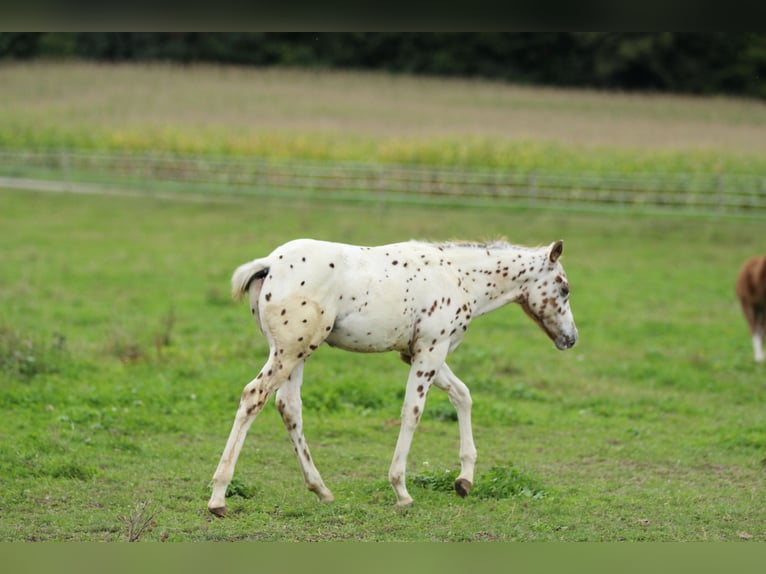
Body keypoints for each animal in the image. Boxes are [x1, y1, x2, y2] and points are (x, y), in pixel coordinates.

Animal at [208, 238, 578, 516]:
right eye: (564, 288)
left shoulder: (419, 352)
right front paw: (402, 490)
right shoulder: (431, 350)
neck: (458, 274)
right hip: (290, 350)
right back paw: (218, 497)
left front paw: (464, 480)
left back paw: (322, 489)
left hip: (294, 352)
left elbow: (463, 395)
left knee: (288, 407)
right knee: (254, 396)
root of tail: (269, 263)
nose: (571, 338)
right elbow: (413, 413)